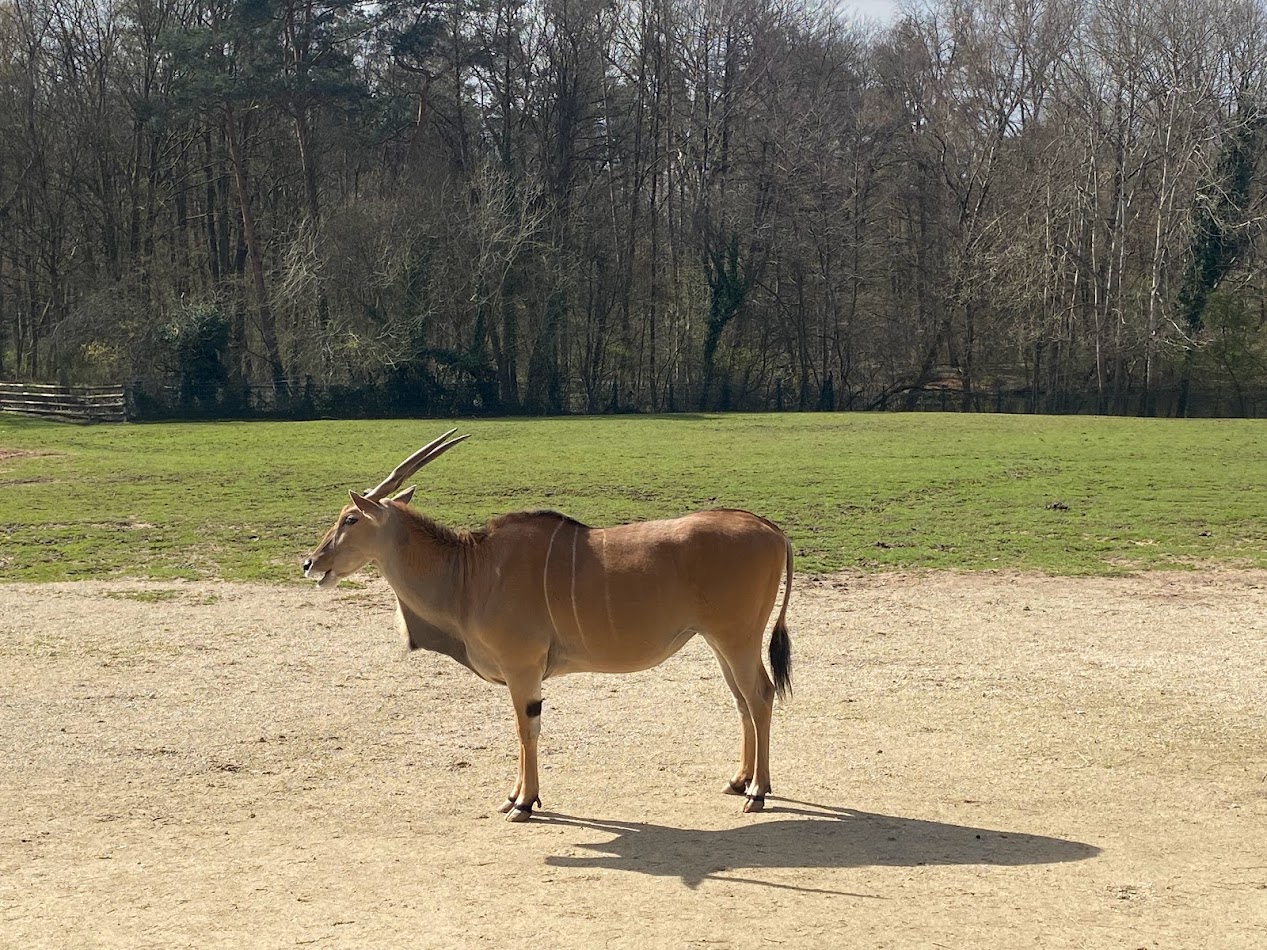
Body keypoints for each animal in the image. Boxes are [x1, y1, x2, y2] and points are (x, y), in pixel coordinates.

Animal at [302, 430, 793, 821]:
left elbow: (527, 729)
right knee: (742, 701)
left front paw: (524, 803)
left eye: (350, 518)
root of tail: (770, 528)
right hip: (718, 641)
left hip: (737, 638)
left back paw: (758, 792)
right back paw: (738, 780)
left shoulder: (522, 668)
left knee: (761, 695)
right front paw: (514, 796)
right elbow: (522, 730)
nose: (311, 563)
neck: (471, 572)